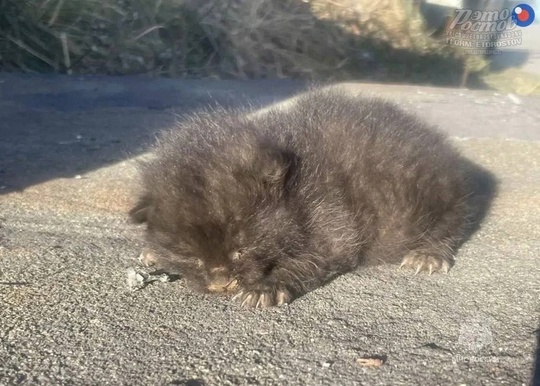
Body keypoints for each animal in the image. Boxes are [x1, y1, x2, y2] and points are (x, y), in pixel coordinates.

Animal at [131, 86, 476, 308]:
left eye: (242, 249)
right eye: (190, 256)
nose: (221, 284)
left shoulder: (331, 216)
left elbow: (312, 259)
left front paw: (266, 288)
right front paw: (151, 251)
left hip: (439, 195)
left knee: (451, 225)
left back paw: (428, 255)